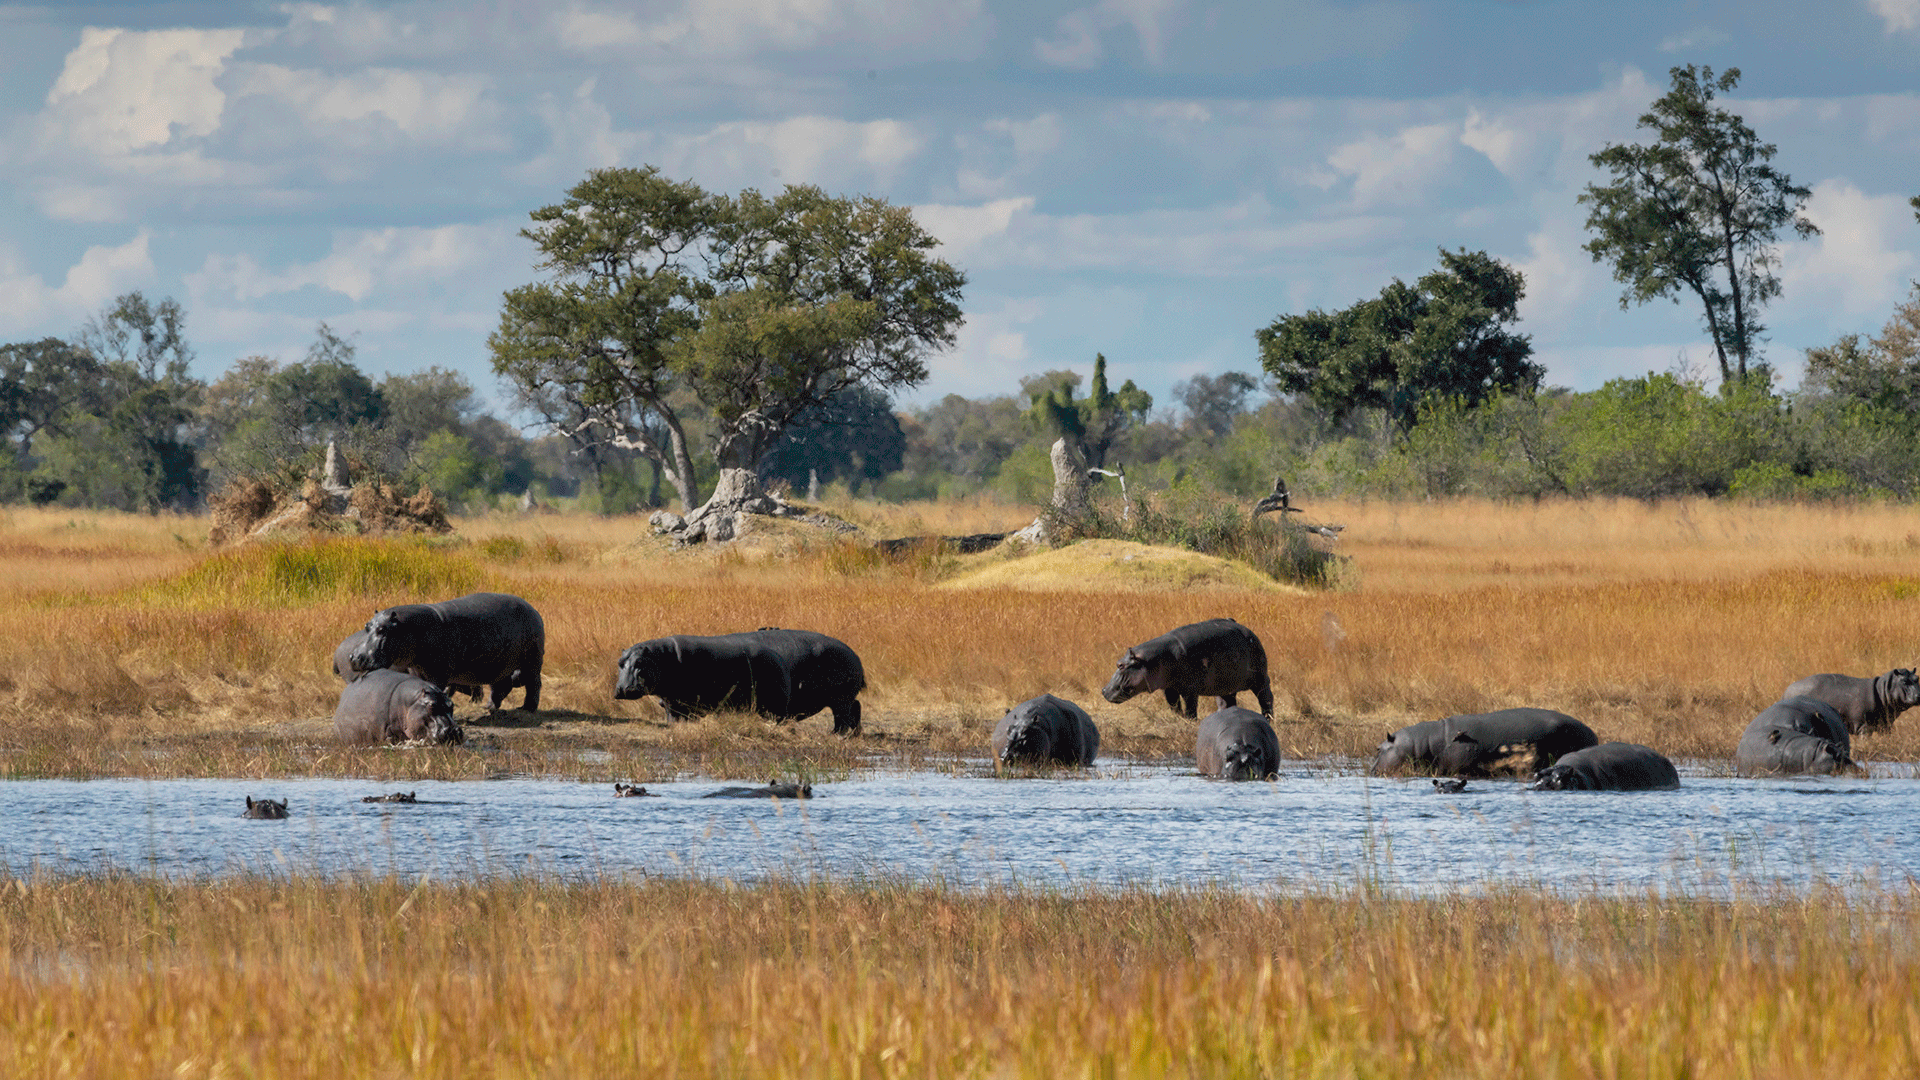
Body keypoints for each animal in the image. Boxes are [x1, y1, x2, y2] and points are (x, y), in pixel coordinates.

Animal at [349, 592, 544, 711]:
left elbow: (437, 688)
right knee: (501, 686)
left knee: (533, 684)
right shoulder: (416, 669)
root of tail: (533, 609)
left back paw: (527, 708)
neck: (410, 627)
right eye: (367, 626)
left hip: (532, 661)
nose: (356, 657)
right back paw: (489, 708)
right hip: (498, 666)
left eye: (382, 629)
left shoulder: (438, 673)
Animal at [614, 628, 866, 734]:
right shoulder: (670, 701)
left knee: (843, 715)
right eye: (620, 662)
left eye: (639, 664)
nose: (623, 689)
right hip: (842, 698)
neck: (663, 657)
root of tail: (855, 654)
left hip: (837, 698)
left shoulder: (681, 701)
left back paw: (836, 734)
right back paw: (852, 733)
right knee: (856, 708)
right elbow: (672, 717)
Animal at [1102, 618, 1274, 719]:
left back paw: (1268, 719)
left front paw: (1191, 720)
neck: (1153, 659)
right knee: (1227, 702)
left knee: (1266, 698)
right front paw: (1178, 719)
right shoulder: (1169, 688)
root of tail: (1248, 630)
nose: (1103, 690)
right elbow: (1174, 705)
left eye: (1120, 665)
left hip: (1260, 678)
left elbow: (1190, 707)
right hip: (1224, 687)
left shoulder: (1190, 689)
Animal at [1782, 668, 1920, 735]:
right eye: (1904, 681)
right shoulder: (1864, 727)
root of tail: (1787, 690)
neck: (1883, 690)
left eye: (1917, 678)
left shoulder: (1885, 726)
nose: (1918, 695)